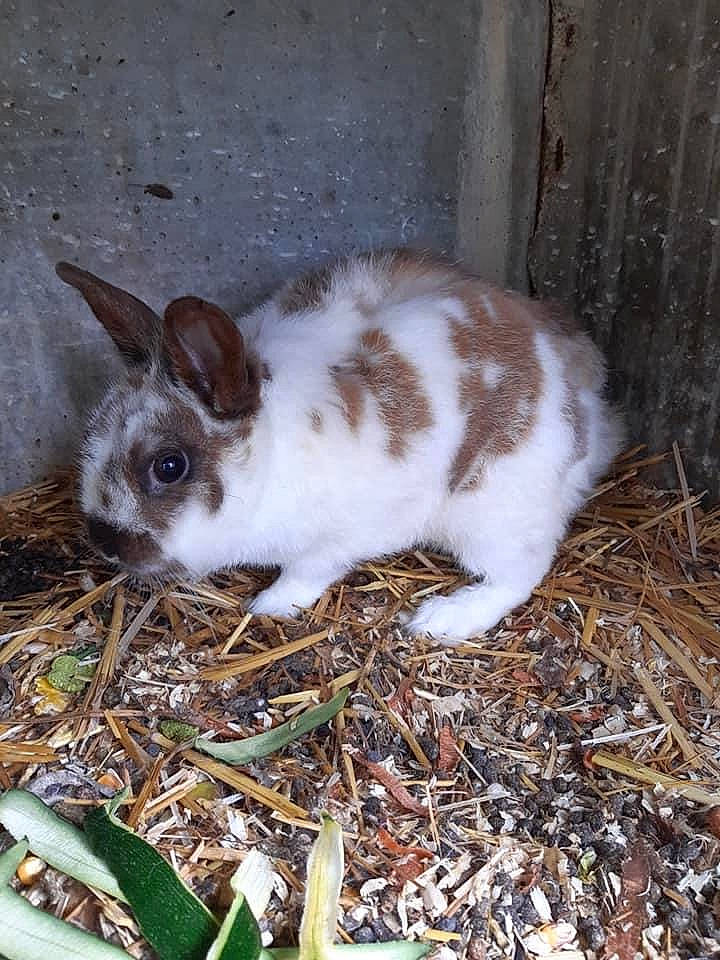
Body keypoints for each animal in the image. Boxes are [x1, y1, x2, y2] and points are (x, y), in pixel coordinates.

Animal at [55, 249, 623, 645]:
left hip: (493, 509)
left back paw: (440, 619)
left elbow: (306, 573)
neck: (273, 457)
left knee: (520, 572)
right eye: (90, 436)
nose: (104, 539)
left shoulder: (337, 541)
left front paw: (268, 606)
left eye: (169, 466)